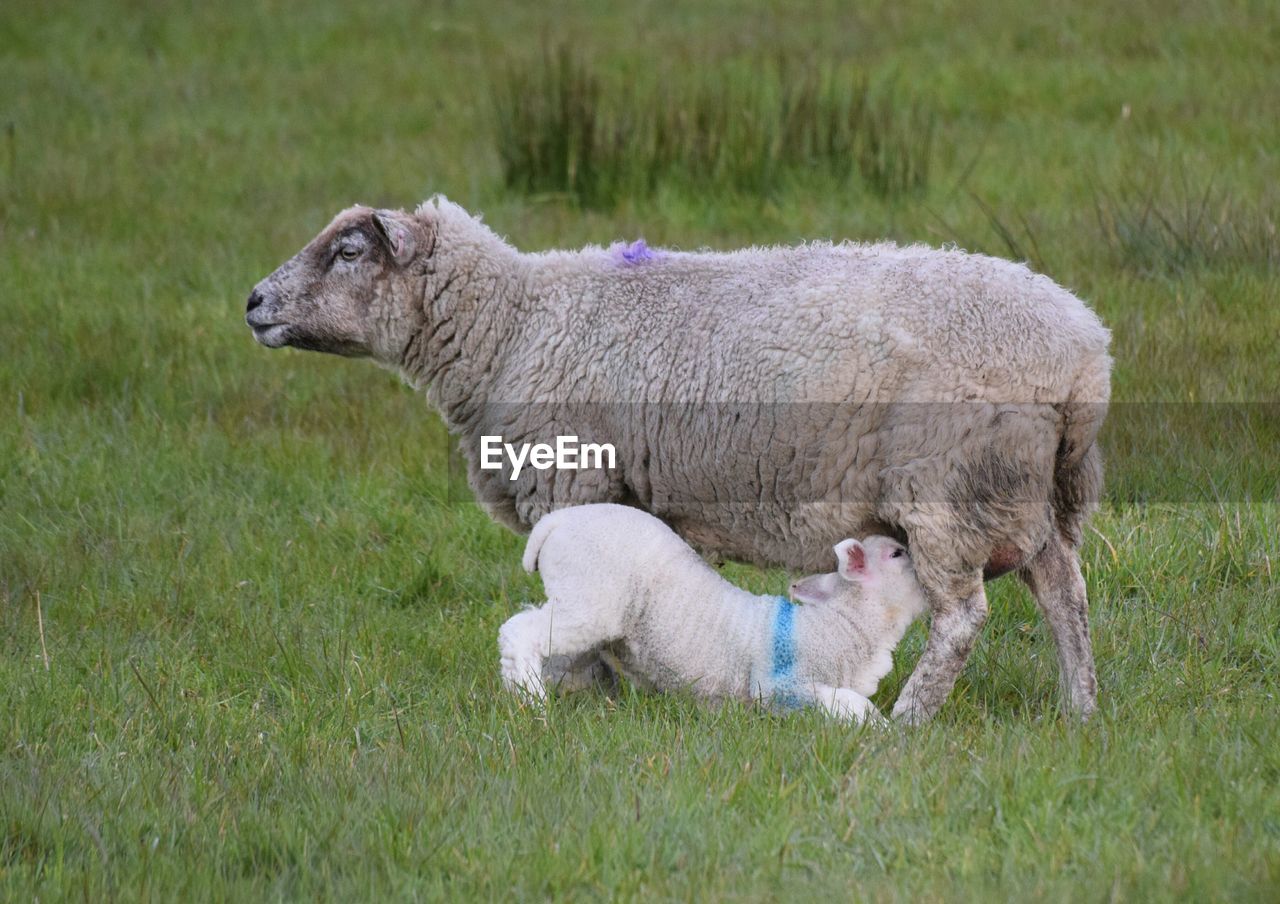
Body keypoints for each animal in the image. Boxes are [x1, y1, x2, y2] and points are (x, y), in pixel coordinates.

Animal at [499, 504, 928, 723]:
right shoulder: (781, 685)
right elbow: (851, 703)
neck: (842, 627)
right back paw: (531, 700)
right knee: (520, 631)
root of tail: (556, 520)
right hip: (588, 597)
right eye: (897, 554)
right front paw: (883, 731)